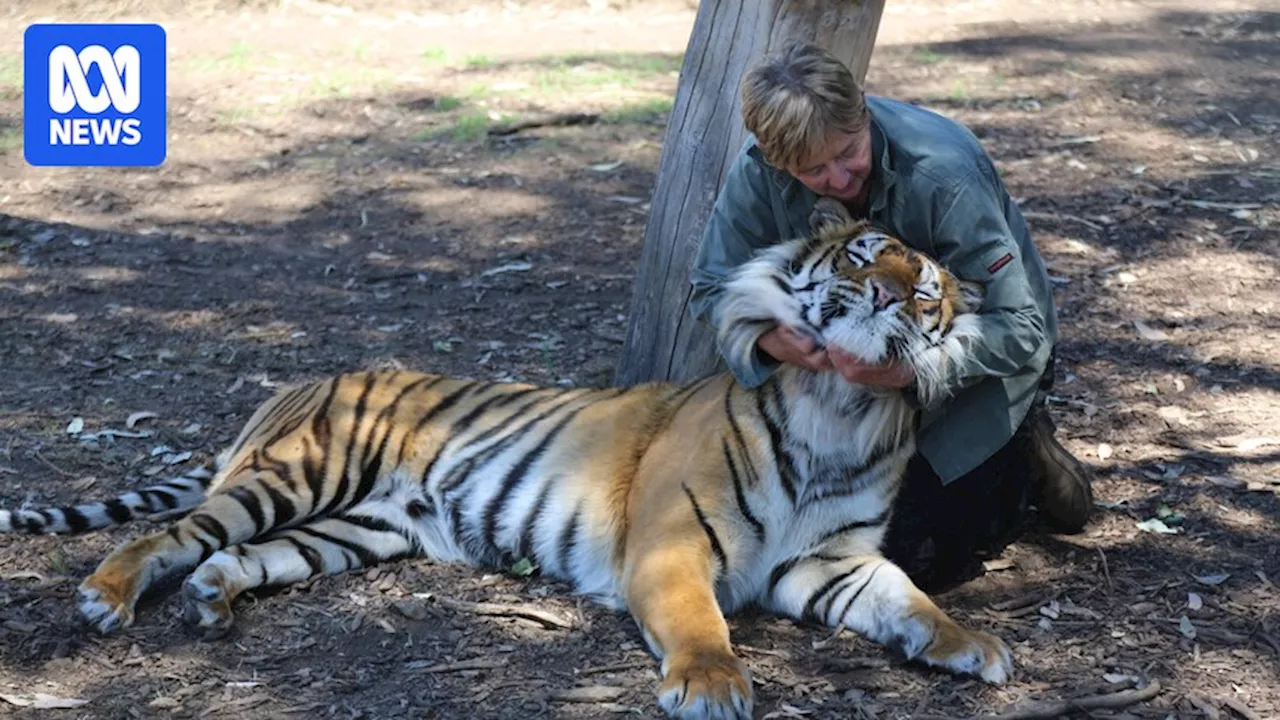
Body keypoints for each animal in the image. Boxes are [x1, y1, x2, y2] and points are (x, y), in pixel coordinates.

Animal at [5, 215, 1013, 712]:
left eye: (924, 288)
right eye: (861, 257)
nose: (888, 294)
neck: (839, 408)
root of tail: (294, 382)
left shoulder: (830, 564)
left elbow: (910, 600)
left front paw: (975, 646)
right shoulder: (672, 547)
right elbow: (699, 623)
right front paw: (711, 685)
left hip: (356, 529)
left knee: (234, 555)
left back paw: (213, 602)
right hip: (299, 473)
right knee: (177, 530)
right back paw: (106, 596)